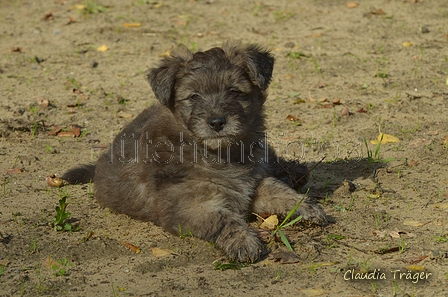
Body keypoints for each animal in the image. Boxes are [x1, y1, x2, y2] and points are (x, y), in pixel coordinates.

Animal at [63, 41, 328, 262]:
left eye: (234, 91)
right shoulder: (190, 206)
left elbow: (278, 190)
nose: (217, 122)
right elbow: (222, 220)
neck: (220, 155)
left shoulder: (252, 185)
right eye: (193, 96)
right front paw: (243, 241)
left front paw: (306, 206)